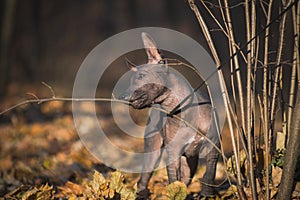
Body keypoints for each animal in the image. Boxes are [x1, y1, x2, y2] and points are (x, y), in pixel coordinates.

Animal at [119, 32, 220, 198]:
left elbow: (209, 173)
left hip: (191, 160)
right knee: (144, 177)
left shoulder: (213, 147)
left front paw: (206, 194)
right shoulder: (173, 153)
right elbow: (173, 181)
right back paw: (142, 194)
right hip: (154, 149)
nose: (121, 96)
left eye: (140, 76)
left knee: (186, 178)